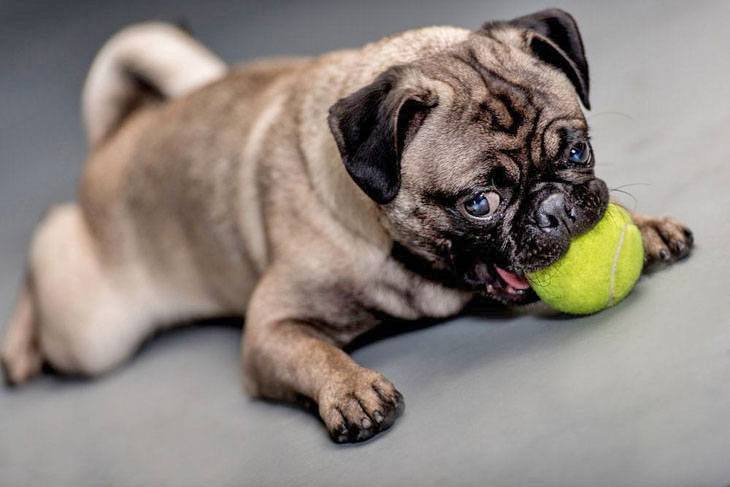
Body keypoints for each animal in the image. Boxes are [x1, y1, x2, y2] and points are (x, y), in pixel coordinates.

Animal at [1, 8, 692, 442]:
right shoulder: (270, 328)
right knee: (50, 240)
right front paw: (351, 389)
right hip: (95, 333)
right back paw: (18, 347)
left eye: (577, 151)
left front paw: (646, 225)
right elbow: (313, 350)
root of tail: (118, 133)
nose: (554, 206)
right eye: (480, 203)